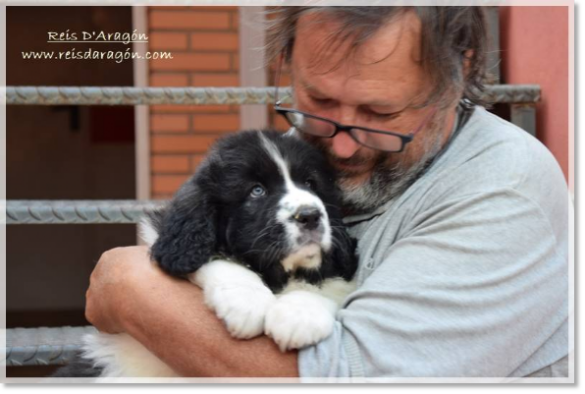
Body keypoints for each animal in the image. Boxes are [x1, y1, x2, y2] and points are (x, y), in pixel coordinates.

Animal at [53, 131, 356, 378]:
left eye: (311, 184)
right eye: (257, 191)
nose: (310, 215)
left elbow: (326, 284)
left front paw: (298, 317)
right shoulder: (178, 245)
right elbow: (220, 260)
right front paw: (248, 304)